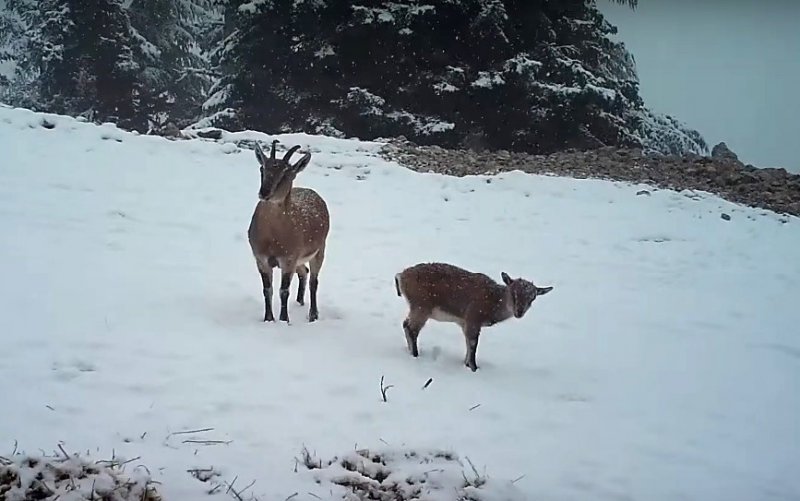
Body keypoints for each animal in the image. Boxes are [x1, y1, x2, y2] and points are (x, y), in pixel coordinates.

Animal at [247, 139, 328, 322]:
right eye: (262, 168)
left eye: (286, 174)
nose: (265, 193)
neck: (272, 239)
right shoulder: (260, 259)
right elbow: (267, 290)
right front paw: (269, 319)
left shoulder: (289, 258)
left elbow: (283, 291)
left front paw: (284, 320)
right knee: (304, 271)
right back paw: (299, 301)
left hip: (319, 250)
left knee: (314, 280)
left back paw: (313, 314)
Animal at [396, 262, 556, 372]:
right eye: (513, 293)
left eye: (532, 298)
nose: (519, 312)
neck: (492, 306)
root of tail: (400, 276)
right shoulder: (473, 316)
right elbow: (473, 344)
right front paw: (474, 367)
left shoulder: (464, 321)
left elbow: (468, 343)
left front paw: (467, 363)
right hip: (422, 305)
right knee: (411, 328)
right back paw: (415, 354)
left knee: (405, 324)